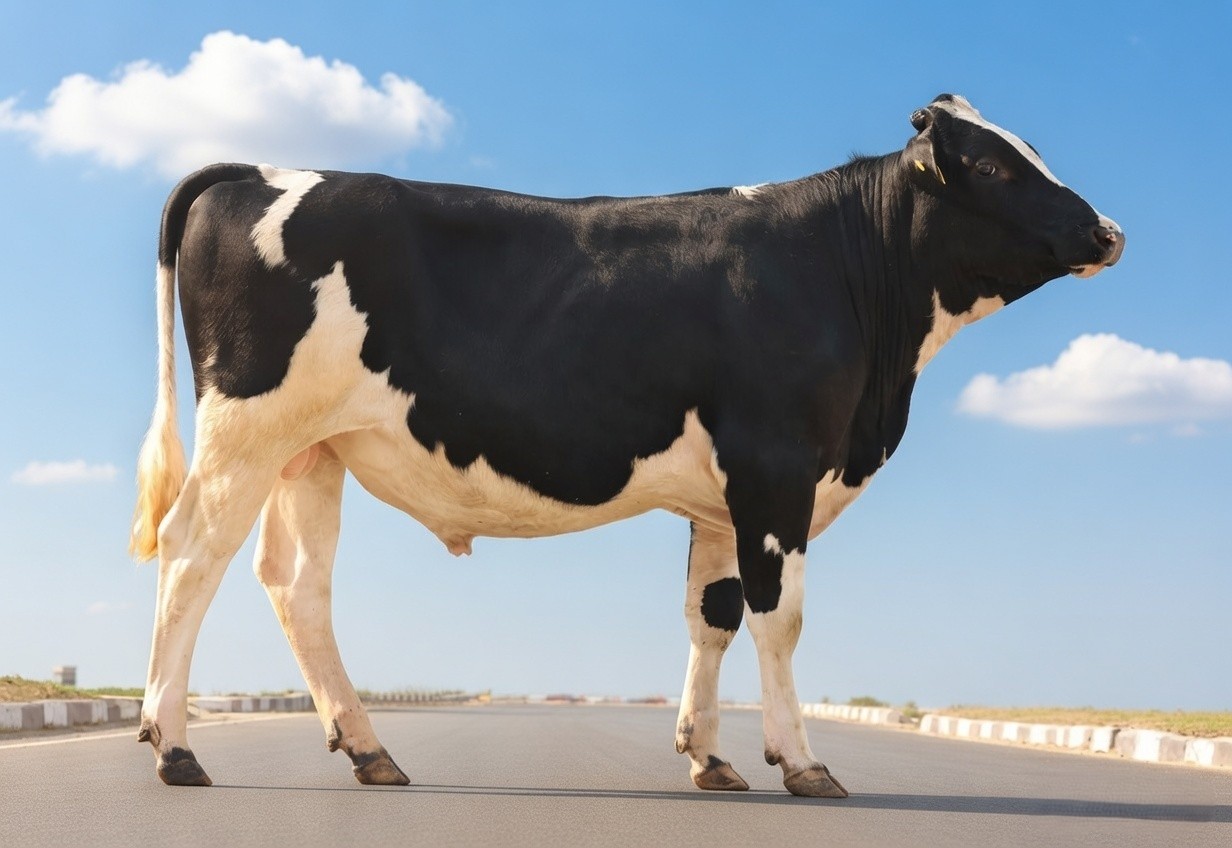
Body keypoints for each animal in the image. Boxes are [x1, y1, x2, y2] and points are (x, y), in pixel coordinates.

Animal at [130, 94, 1123, 793]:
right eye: (992, 165)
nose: (1107, 231)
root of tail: (261, 169)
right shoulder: (776, 468)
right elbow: (781, 618)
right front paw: (802, 763)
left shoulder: (723, 498)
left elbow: (712, 614)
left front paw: (710, 758)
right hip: (247, 429)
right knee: (191, 553)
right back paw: (172, 747)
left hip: (314, 449)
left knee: (296, 584)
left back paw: (369, 749)